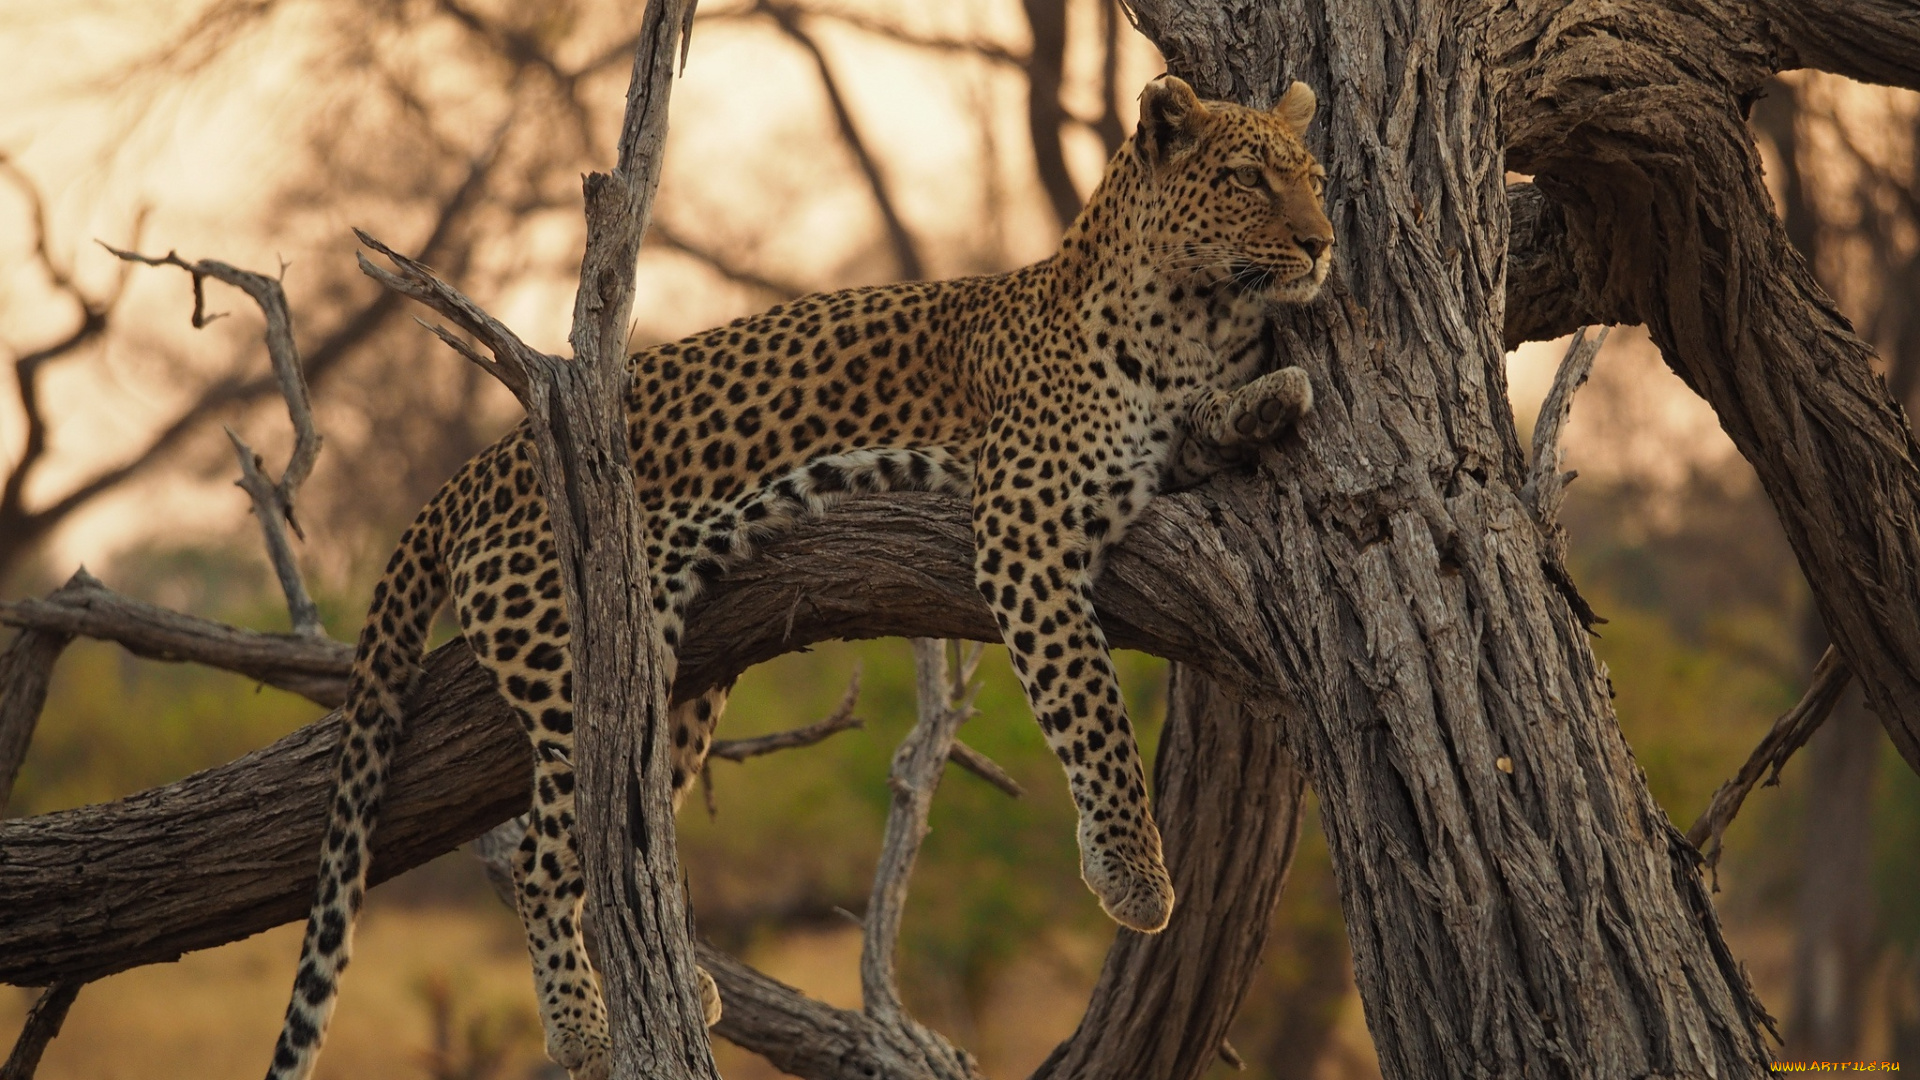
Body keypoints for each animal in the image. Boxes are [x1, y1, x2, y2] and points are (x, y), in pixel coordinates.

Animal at [263, 75, 1328, 1076]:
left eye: (1313, 178)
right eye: (1248, 178)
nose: (1321, 246)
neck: (1193, 316)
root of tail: (475, 468)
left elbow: (1210, 427)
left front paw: (1275, 393)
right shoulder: (1023, 519)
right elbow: (1089, 697)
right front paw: (1134, 873)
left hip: (668, 682)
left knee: (622, 840)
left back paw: (675, 983)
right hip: (570, 658)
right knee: (542, 855)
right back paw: (583, 1028)